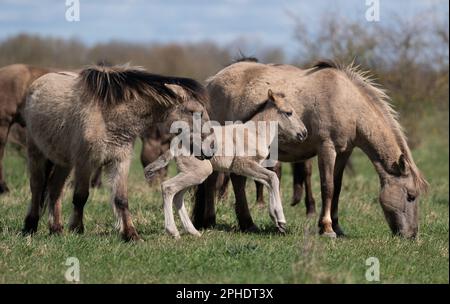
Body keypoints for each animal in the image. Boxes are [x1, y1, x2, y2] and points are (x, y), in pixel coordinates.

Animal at [22, 65, 215, 241]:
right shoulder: (86, 162)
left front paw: (131, 234)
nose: (211, 148)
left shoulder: (120, 160)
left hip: (64, 162)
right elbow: (80, 196)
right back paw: (30, 226)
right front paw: (77, 229)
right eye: (194, 112)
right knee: (37, 187)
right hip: (36, 154)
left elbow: (121, 199)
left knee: (55, 190)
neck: (107, 115)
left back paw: (56, 229)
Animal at [144, 88, 310, 238]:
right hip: (199, 171)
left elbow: (269, 181)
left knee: (178, 196)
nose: (304, 133)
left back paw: (193, 231)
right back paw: (173, 231)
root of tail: (177, 140)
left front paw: (276, 220)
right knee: (168, 187)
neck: (255, 133)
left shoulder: (250, 167)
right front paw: (281, 220)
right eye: (288, 112)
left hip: (192, 172)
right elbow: (273, 178)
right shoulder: (242, 165)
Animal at [192, 59, 428, 239]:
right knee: (217, 180)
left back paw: (244, 223)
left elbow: (338, 188)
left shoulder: (344, 152)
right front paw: (327, 228)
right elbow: (327, 187)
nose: (412, 235)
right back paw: (215, 220)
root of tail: (212, 82)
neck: (346, 101)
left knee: (235, 180)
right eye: (410, 196)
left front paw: (337, 226)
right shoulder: (327, 148)